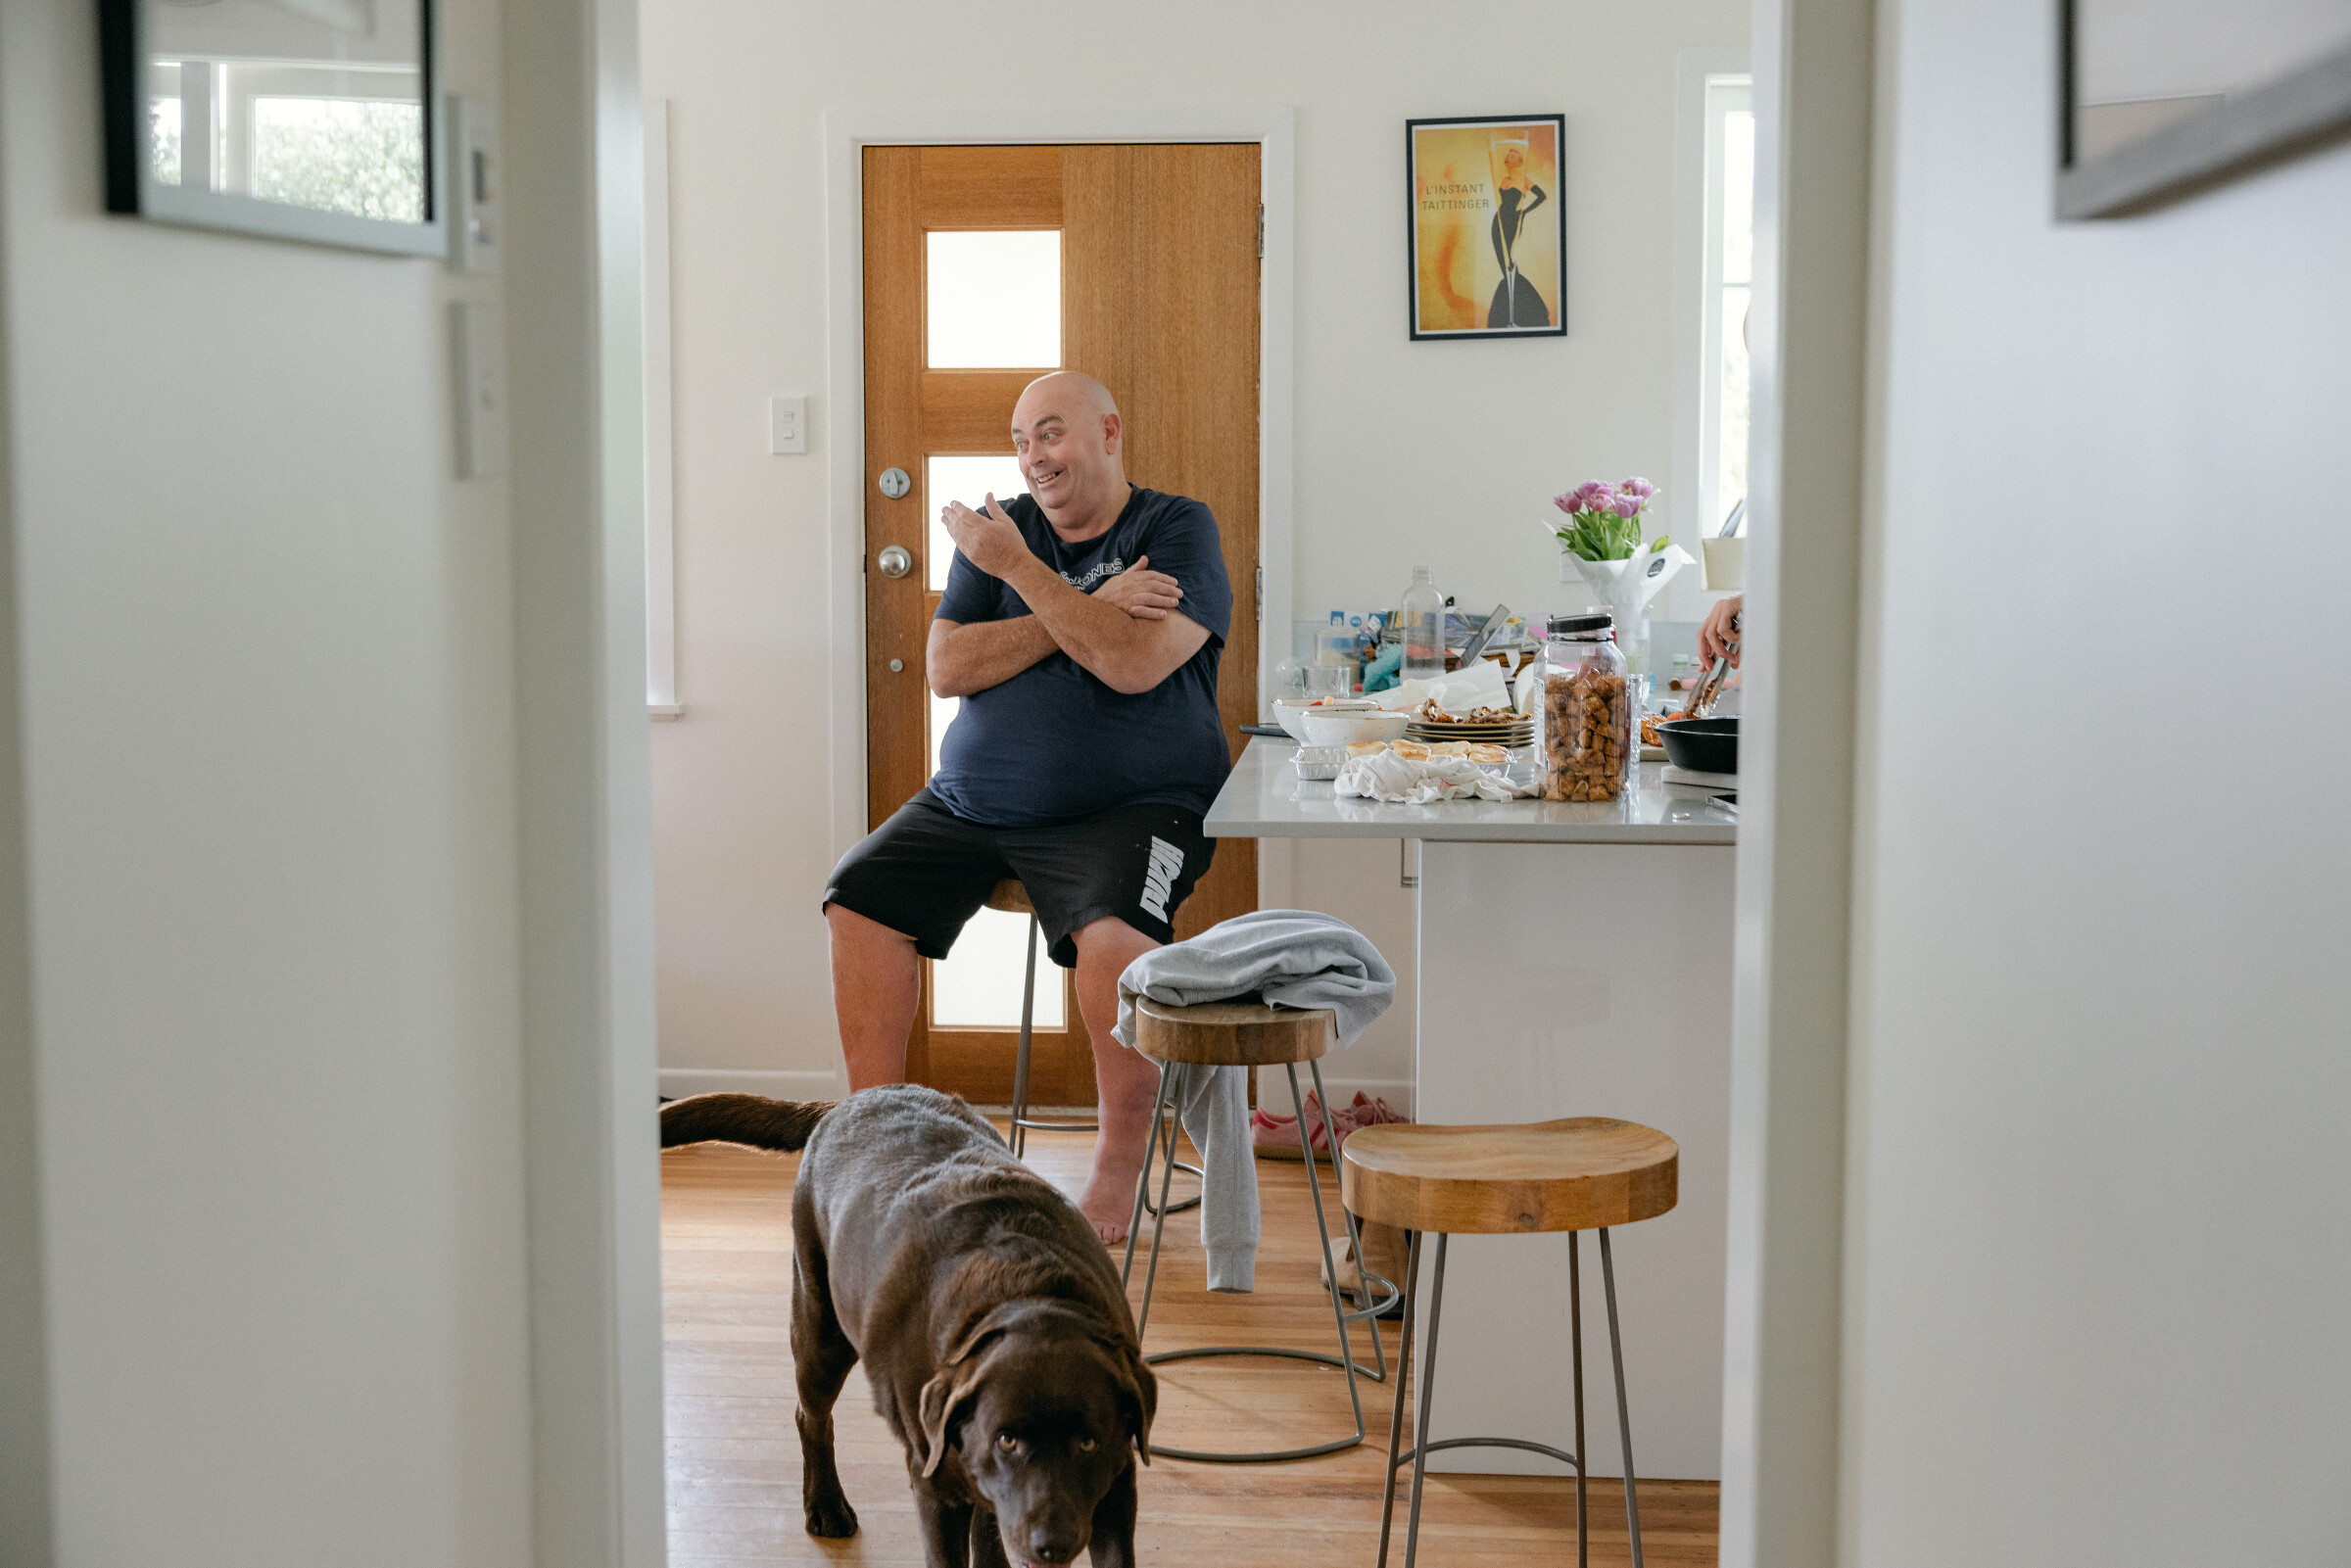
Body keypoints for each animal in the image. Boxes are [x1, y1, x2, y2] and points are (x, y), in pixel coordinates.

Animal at [660, 1084, 1155, 1568]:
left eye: (1088, 1443)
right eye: (1007, 1440)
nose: (1051, 1545)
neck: (1027, 1291)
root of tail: (851, 1098)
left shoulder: (1117, 1483)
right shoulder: (934, 1483)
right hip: (821, 1335)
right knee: (811, 1417)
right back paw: (825, 1504)